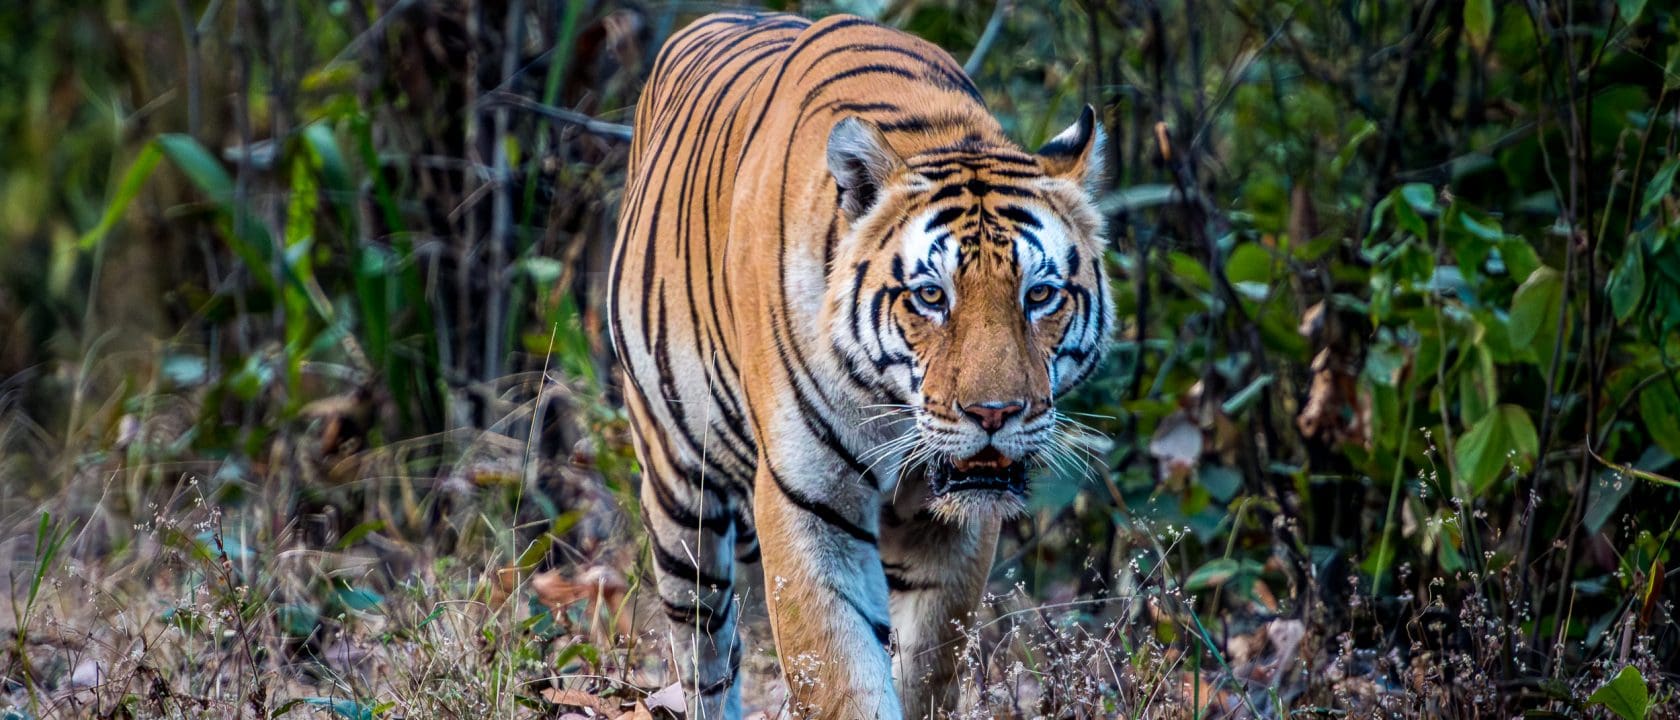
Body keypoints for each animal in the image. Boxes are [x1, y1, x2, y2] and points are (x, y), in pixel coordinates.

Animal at [607, 10, 1112, 719]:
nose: (994, 414)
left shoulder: (948, 529)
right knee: (706, 650)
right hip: (679, 489)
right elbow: (842, 677)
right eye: (931, 296)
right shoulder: (807, 501)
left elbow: (925, 665)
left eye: (1038, 295)